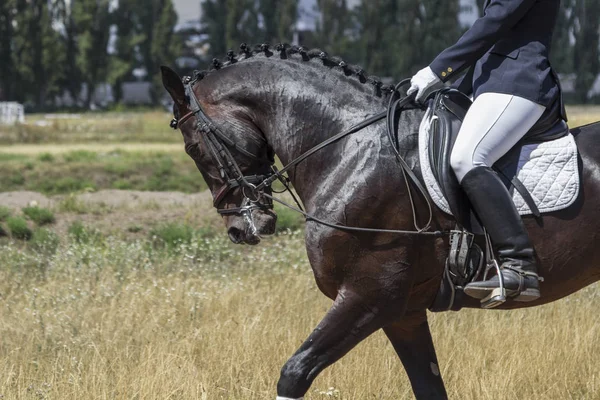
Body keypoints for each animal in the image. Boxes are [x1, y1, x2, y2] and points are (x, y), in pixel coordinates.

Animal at [159, 43, 600, 400]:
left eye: (193, 147)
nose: (240, 228)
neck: (350, 151)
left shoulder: (369, 296)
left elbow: (294, 373)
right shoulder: (403, 314)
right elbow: (428, 387)